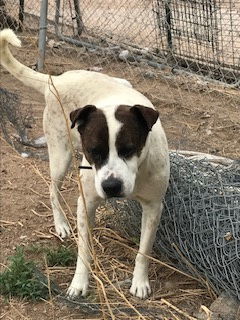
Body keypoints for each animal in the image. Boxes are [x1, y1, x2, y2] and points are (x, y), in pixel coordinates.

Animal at [0, 28, 170, 298]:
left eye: (129, 149)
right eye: (93, 151)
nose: (111, 187)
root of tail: (56, 80)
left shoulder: (154, 207)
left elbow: (144, 251)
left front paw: (140, 282)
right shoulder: (86, 200)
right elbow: (84, 250)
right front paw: (79, 283)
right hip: (60, 156)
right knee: (53, 190)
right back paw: (60, 225)